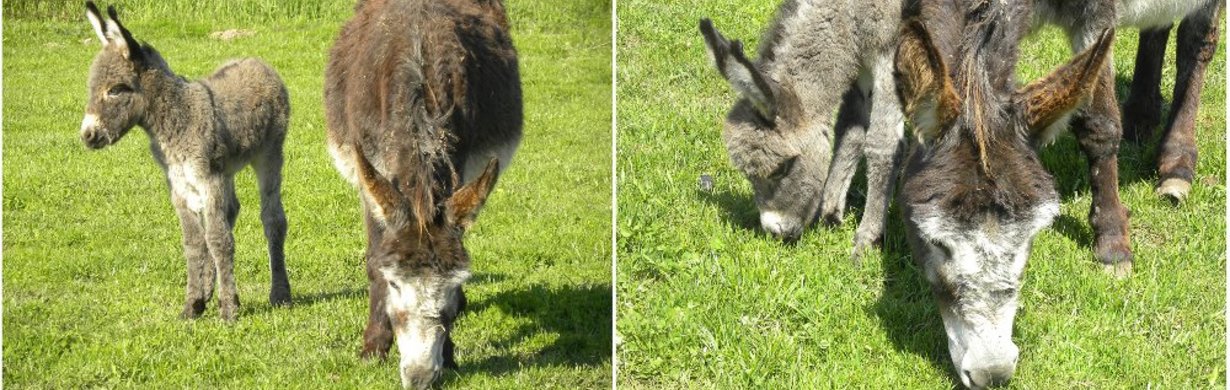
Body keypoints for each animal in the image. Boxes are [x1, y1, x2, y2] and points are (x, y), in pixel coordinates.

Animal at [81, 1, 292, 319]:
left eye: (116, 89)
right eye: (92, 89)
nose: (87, 135)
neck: (175, 117)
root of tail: (256, 62)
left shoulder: (208, 178)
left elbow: (217, 239)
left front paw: (228, 310)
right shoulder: (179, 184)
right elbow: (194, 242)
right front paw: (193, 305)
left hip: (268, 155)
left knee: (272, 218)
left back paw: (280, 294)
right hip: (226, 170)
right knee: (230, 211)